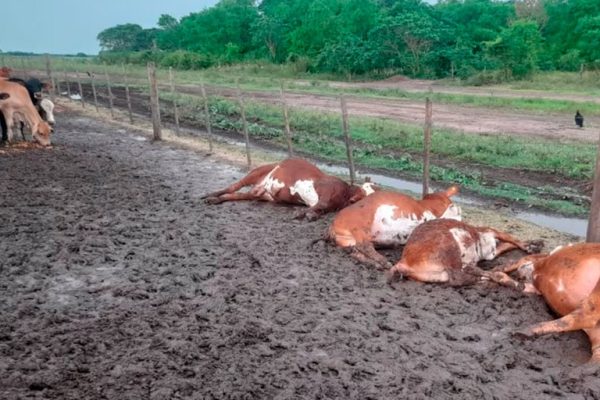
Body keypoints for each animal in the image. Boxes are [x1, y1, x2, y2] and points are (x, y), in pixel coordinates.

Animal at [202, 159, 376, 222]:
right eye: (363, 196)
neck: (345, 193)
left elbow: (320, 208)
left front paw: (311, 214)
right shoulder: (325, 190)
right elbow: (322, 204)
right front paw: (301, 213)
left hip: (261, 195)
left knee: (236, 194)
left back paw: (216, 200)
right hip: (256, 172)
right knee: (233, 186)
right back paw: (210, 195)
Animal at [328, 187, 460, 268]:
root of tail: (332, 225)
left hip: (351, 242)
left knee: (357, 252)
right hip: (360, 227)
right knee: (365, 246)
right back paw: (384, 262)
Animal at [384, 219, 544, 288]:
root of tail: (403, 262)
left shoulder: (490, 251)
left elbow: (506, 244)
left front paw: (535, 245)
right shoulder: (488, 231)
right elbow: (510, 237)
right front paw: (532, 245)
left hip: (441, 275)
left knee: (463, 277)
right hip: (449, 246)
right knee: (460, 277)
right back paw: (512, 282)